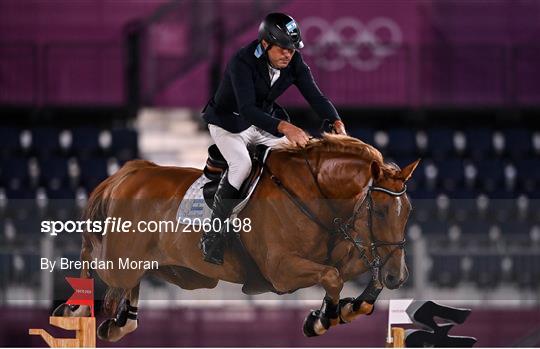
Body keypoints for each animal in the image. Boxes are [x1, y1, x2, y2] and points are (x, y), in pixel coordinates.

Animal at [51, 133, 422, 340]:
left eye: (408, 212)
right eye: (381, 211)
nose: (400, 277)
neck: (313, 193)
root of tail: (128, 174)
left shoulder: (347, 253)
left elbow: (358, 278)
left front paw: (350, 307)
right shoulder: (281, 270)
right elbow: (332, 277)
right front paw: (324, 319)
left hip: (173, 271)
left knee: (127, 288)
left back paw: (119, 323)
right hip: (118, 260)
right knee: (93, 263)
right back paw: (75, 310)